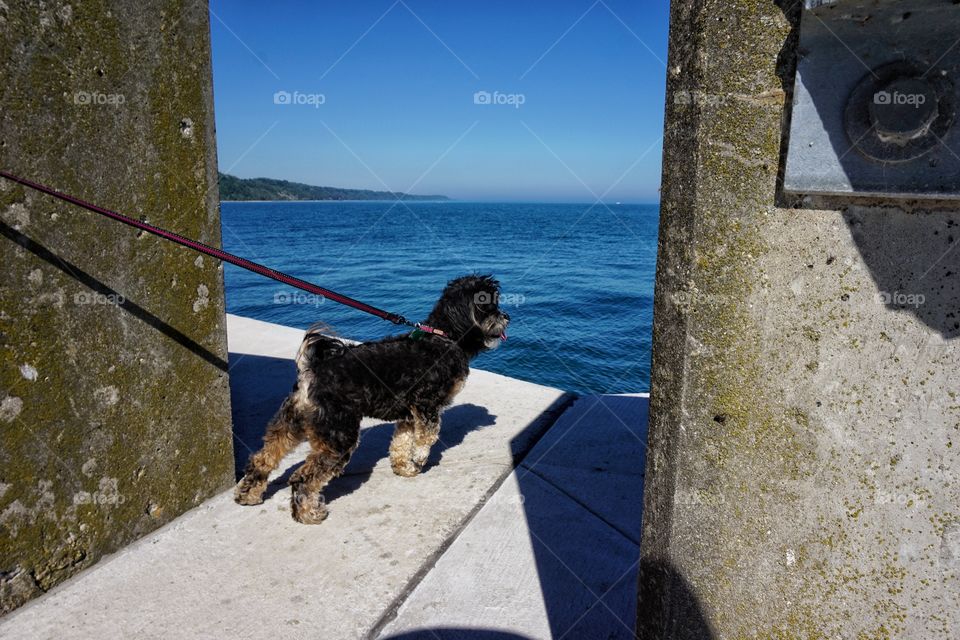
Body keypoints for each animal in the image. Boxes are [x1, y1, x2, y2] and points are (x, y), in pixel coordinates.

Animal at [233, 276, 510, 524]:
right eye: (488, 305)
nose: (506, 317)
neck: (444, 337)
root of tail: (313, 370)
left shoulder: (408, 414)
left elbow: (401, 442)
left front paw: (404, 467)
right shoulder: (425, 404)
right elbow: (427, 436)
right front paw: (420, 457)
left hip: (291, 423)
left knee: (263, 458)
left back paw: (248, 495)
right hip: (339, 435)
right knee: (303, 477)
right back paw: (308, 514)